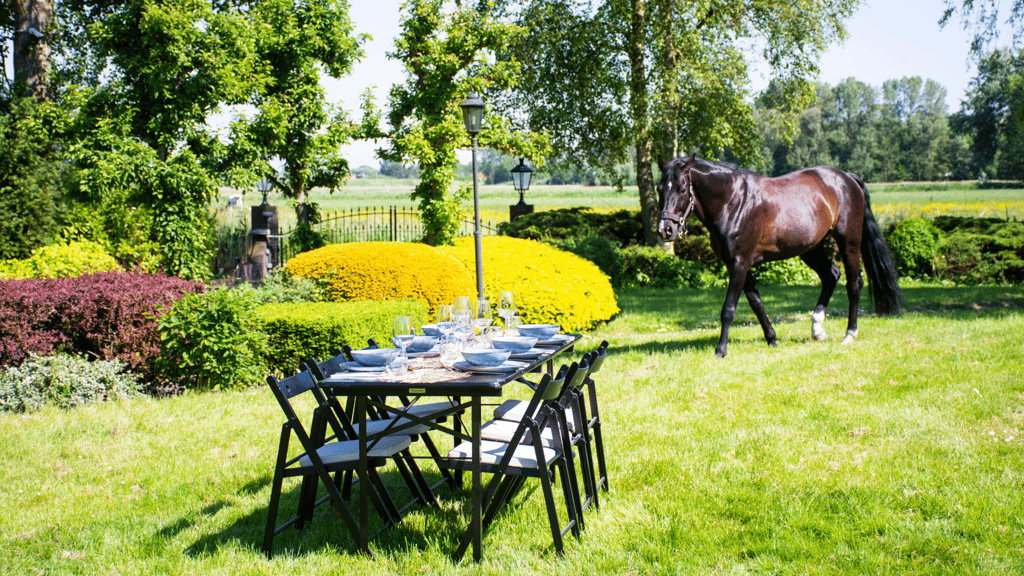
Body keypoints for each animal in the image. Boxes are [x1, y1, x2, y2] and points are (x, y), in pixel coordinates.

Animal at [655, 154, 905, 356]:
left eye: (682, 188)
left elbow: (728, 309)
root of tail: (848, 179)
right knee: (831, 275)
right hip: (811, 249)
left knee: (854, 283)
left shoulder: (740, 263)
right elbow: (756, 303)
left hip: (849, 243)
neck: (733, 201)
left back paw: (849, 334)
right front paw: (772, 339)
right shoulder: (737, 264)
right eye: (660, 188)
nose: (665, 229)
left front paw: (721, 350)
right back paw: (818, 329)